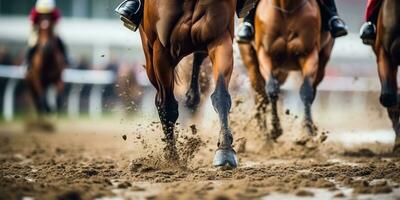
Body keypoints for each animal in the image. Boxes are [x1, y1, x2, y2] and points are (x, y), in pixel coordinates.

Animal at [239, 0, 336, 143]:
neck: (287, 9)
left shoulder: (309, 54)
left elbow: (306, 91)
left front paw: (307, 131)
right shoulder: (265, 54)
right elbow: (272, 89)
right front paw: (275, 129)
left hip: (320, 63)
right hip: (252, 63)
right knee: (260, 97)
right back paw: (263, 133)